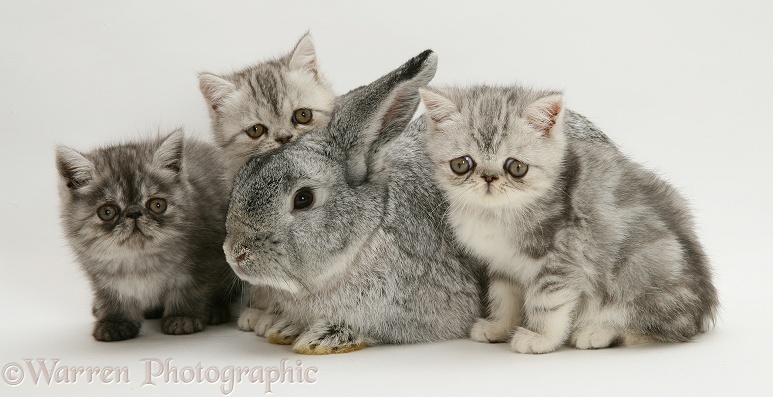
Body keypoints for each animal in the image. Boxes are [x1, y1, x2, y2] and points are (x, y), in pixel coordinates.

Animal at [56, 129, 237, 340]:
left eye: (157, 205)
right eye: (107, 212)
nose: (134, 213)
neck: (139, 260)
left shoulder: (199, 264)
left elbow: (189, 291)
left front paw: (183, 317)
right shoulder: (103, 280)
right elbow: (114, 297)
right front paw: (115, 322)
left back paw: (216, 310)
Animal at [222, 49, 482, 352]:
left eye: (303, 198)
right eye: (244, 175)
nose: (235, 253)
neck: (368, 235)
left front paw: (321, 338)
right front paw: (287, 328)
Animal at [422, 85, 716, 352]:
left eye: (516, 167)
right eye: (462, 164)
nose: (489, 178)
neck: (497, 214)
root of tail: (704, 307)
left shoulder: (561, 258)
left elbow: (547, 302)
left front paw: (540, 338)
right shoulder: (502, 263)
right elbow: (504, 298)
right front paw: (499, 327)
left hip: (643, 269)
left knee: (668, 328)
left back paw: (599, 332)